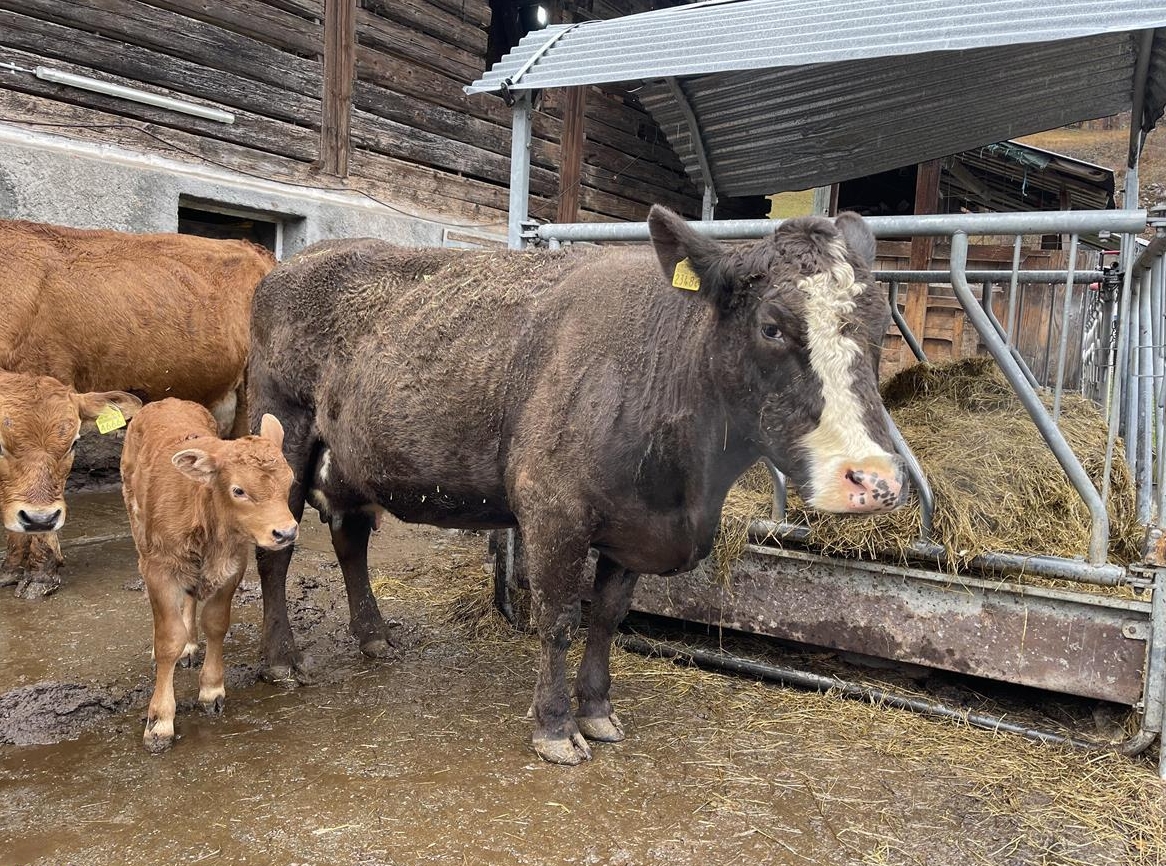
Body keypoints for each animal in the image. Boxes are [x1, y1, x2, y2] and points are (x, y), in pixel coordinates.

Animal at [120, 398, 297, 753]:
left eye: (290, 481)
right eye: (239, 490)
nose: (285, 532)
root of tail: (166, 401)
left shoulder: (232, 566)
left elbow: (215, 623)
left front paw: (212, 690)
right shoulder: (159, 569)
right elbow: (167, 640)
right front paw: (159, 721)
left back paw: (191, 644)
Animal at [247, 206, 908, 765]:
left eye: (880, 325)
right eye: (772, 327)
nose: (874, 479)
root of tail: (299, 261)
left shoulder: (635, 525)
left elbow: (608, 616)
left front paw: (597, 711)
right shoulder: (552, 510)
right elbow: (561, 616)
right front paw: (556, 727)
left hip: (349, 457)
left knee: (350, 537)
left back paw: (374, 636)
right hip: (282, 432)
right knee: (275, 550)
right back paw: (282, 659)